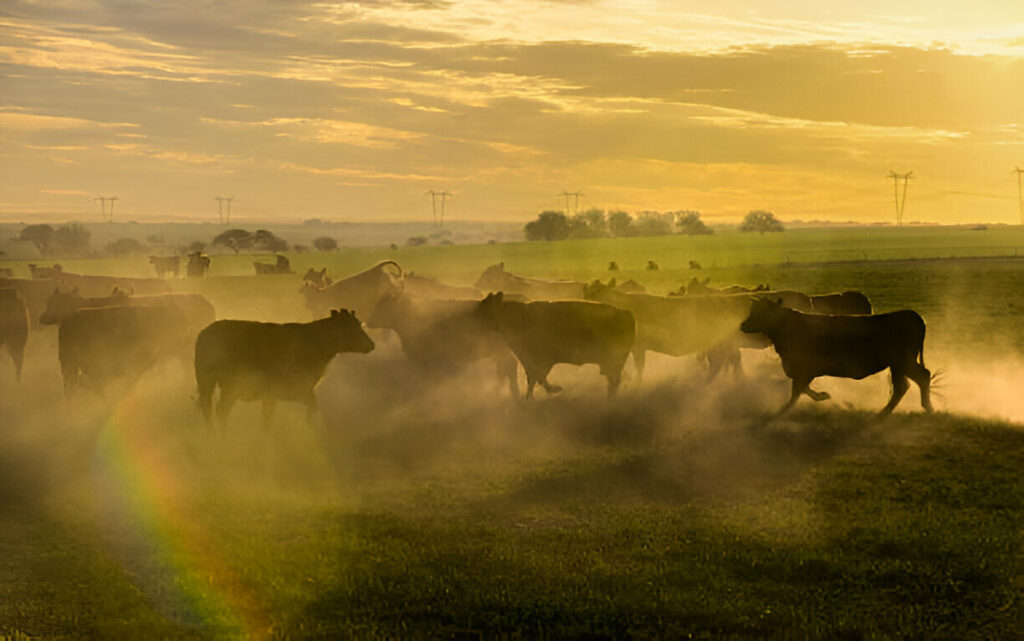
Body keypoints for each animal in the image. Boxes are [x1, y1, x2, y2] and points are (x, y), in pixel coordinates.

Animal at [193, 305, 374, 423]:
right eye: (351, 329)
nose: (371, 345)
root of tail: (204, 333)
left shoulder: (272, 395)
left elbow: (267, 419)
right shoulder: (295, 389)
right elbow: (312, 407)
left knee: (212, 409)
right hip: (227, 385)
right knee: (218, 410)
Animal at [475, 292, 634, 397]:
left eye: (485, 307)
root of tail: (626, 312)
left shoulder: (540, 360)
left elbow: (538, 378)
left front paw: (554, 389)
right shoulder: (528, 360)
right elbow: (534, 379)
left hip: (614, 360)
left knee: (614, 381)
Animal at [741, 298, 933, 417]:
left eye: (763, 312)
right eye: (752, 310)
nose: (742, 325)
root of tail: (913, 315)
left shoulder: (807, 369)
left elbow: (798, 391)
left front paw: (779, 412)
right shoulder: (803, 371)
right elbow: (801, 389)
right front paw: (822, 396)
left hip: (902, 362)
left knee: (911, 382)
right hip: (900, 364)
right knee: (913, 381)